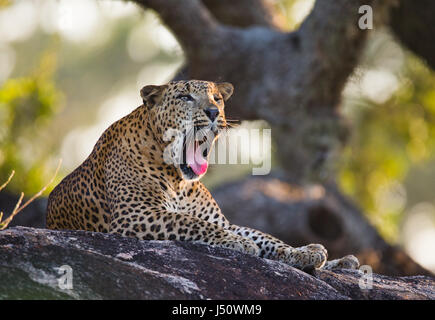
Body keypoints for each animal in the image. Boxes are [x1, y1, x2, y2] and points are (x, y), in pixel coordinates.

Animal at [46, 79, 360, 270]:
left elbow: (264, 237)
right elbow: (191, 223)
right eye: (185, 97)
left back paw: (338, 260)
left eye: (217, 98)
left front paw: (299, 252)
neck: (178, 180)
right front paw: (239, 244)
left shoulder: (222, 220)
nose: (212, 112)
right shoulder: (135, 215)